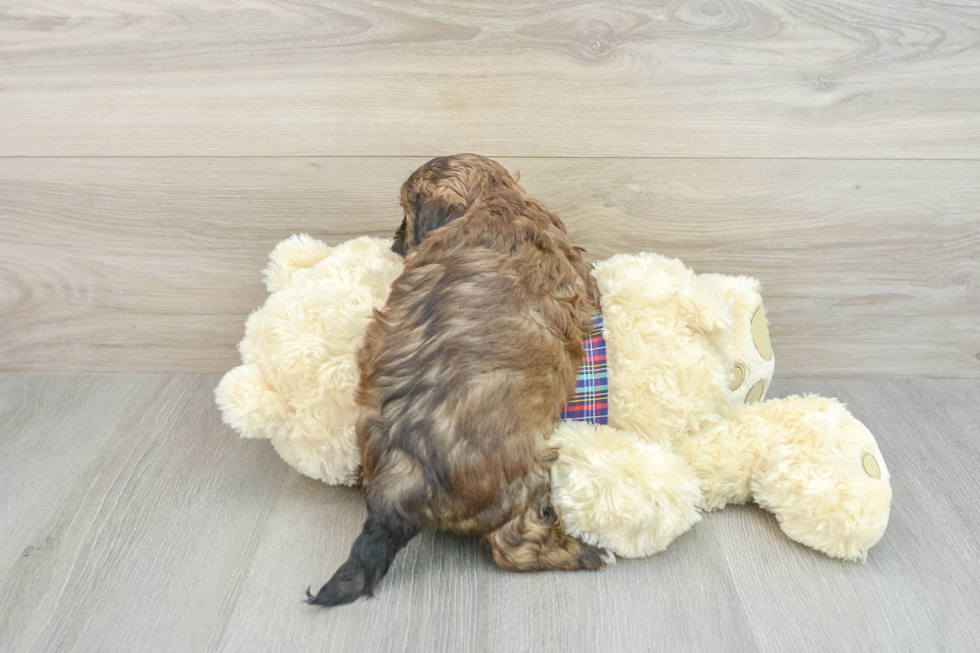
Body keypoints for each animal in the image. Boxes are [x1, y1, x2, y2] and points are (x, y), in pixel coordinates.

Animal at [310, 154, 608, 608]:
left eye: (405, 215)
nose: (395, 244)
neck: (491, 200)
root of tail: (399, 491)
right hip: (522, 481)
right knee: (515, 547)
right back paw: (585, 552)